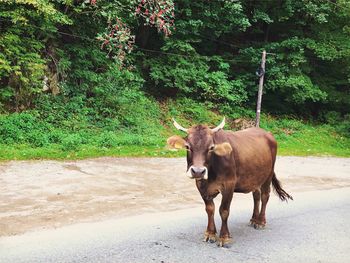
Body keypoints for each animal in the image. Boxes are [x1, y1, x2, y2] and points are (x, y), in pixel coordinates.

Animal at [167, 117, 292, 248]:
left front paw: (224, 237)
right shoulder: (201, 185)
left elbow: (224, 210)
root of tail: (267, 133)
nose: (198, 171)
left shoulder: (229, 185)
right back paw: (254, 219)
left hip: (268, 175)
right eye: (187, 146)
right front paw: (210, 234)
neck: (211, 175)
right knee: (256, 195)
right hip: (254, 177)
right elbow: (210, 209)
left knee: (264, 196)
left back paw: (260, 222)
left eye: (211, 147)